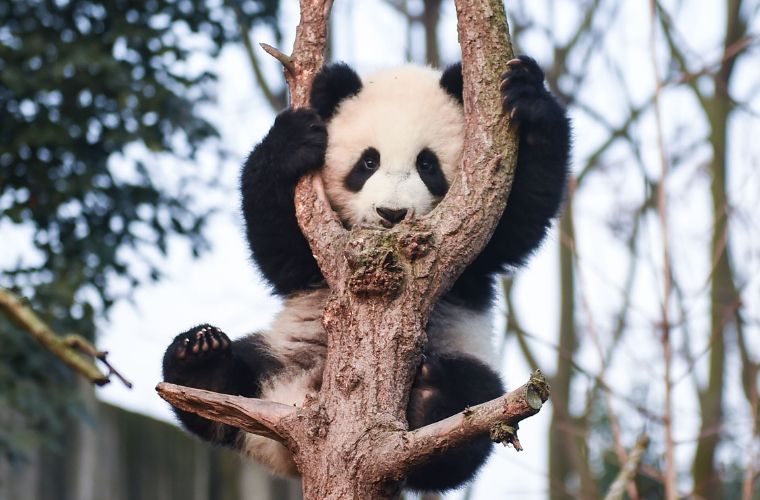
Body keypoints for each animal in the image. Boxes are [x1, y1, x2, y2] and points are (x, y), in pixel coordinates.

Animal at [162, 55, 570, 492]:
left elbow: (520, 219)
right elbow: (278, 247)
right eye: (368, 162)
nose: (391, 213)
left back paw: (432, 398)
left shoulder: (476, 251)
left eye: (427, 164)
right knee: (219, 381)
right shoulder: (315, 256)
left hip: (466, 357)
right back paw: (202, 359)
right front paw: (292, 142)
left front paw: (528, 96)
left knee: (472, 410)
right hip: (281, 353)